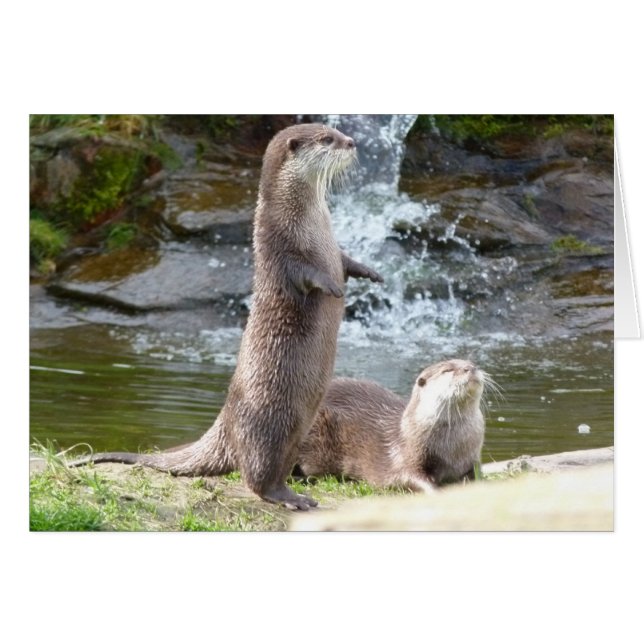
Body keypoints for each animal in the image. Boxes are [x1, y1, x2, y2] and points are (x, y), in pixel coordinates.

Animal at [70, 123, 383, 510]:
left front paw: (370, 272)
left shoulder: (332, 249)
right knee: (256, 475)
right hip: (268, 424)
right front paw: (333, 287)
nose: (352, 142)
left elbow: (345, 260)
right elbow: (306, 273)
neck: (311, 222)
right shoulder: (279, 247)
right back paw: (289, 498)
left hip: (299, 429)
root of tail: (226, 421)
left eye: (336, 131)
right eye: (328, 139)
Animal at [296, 359, 488, 492]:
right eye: (447, 370)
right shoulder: (407, 456)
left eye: (472, 363)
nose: (471, 368)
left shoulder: (472, 458)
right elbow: (410, 478)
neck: (454, 447)